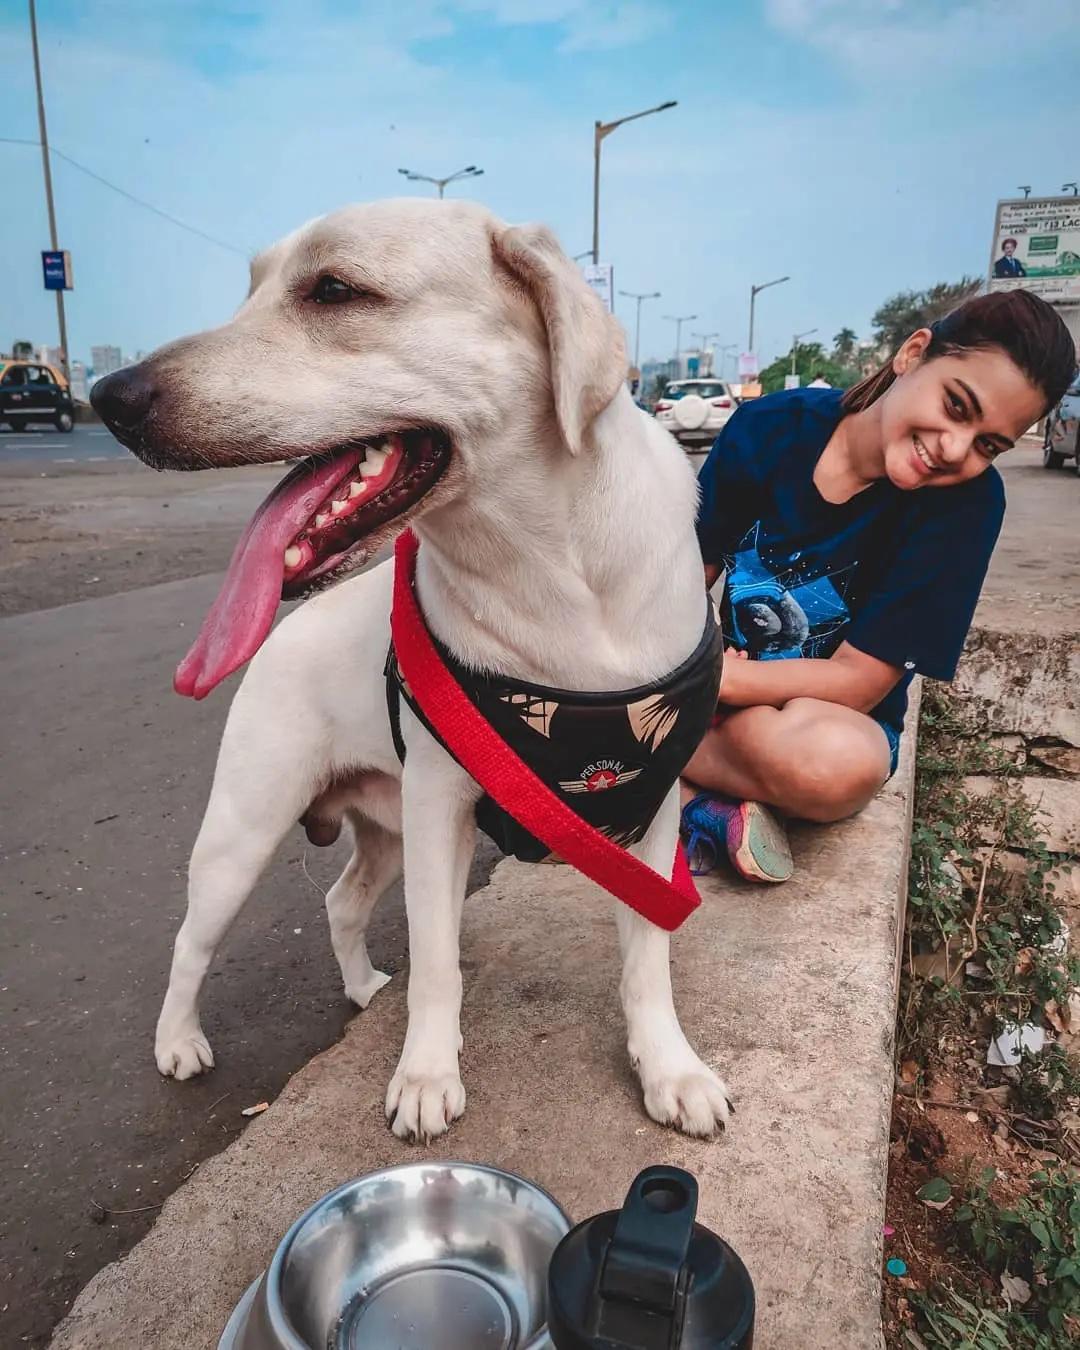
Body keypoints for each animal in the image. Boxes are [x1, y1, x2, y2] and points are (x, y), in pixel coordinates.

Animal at [93, 197, 734, 1139]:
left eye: (334, 290)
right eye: (250, 289)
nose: (108, 397)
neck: (550, 576)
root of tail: (283, 635)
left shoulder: (652, 817)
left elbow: (647, 960)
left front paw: (670, 1069)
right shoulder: (441, 809)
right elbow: (438, 958)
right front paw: (427, 1075)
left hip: (383, 827)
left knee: (342, 901)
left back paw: (362, 987)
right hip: (243, 834)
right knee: (190, 943)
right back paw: (179, 1043)